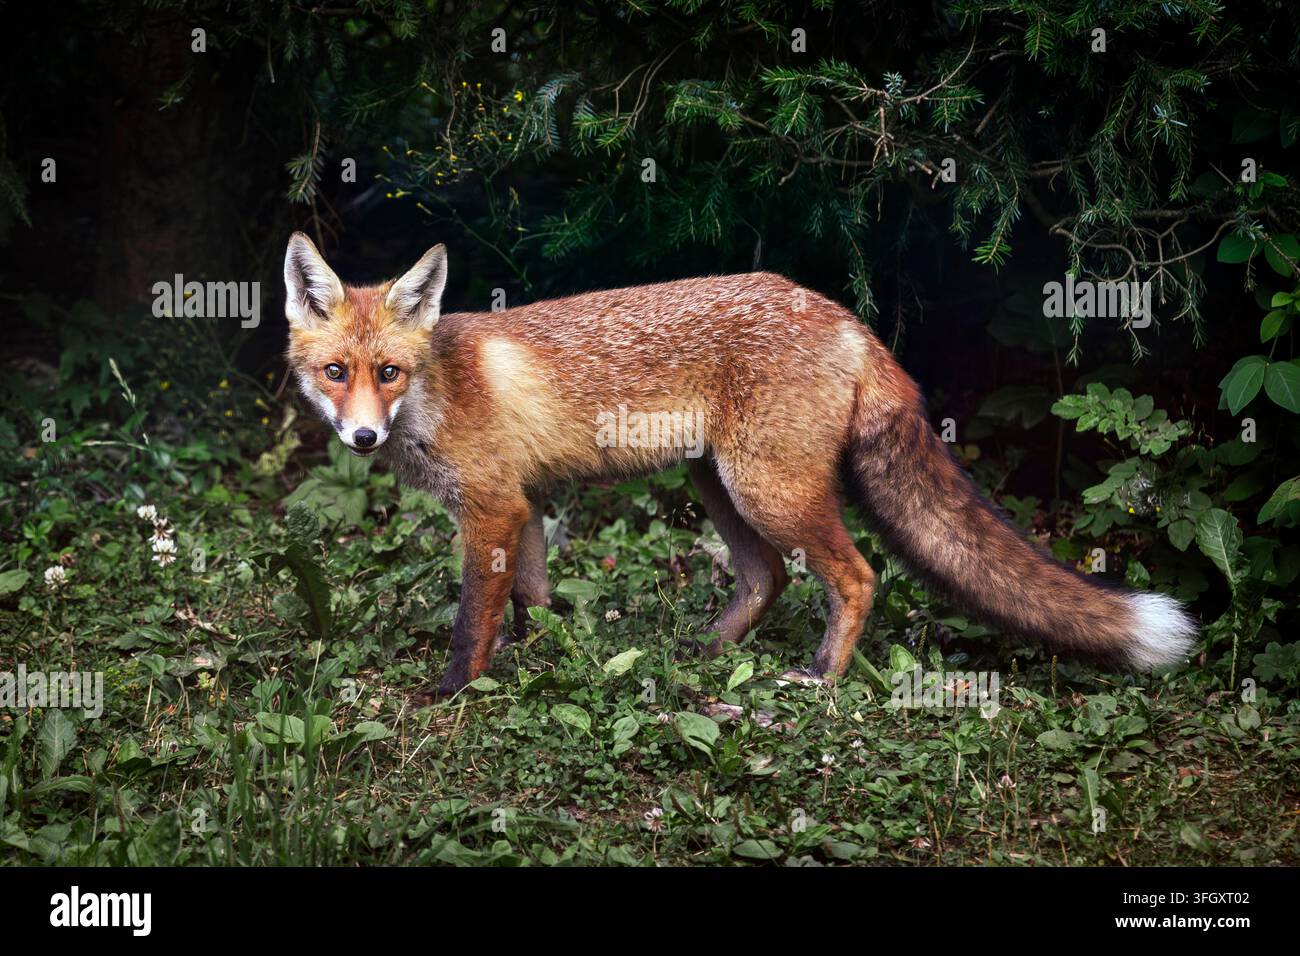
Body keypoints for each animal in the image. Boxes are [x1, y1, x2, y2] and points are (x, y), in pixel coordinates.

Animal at [283, 232, 1197, 702]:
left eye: (388, 373)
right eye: (336, 373)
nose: (361, 438)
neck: (434, 393)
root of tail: (848, 318)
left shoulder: (493, 509)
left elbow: (473, 617)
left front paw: (452, 692)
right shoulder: (526, 504)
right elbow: (532, 606)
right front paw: (541, 664)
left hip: (769, 490)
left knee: (856, 575)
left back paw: (821, 678)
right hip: (716, 483)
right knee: (768, 578)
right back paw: (704, 654)